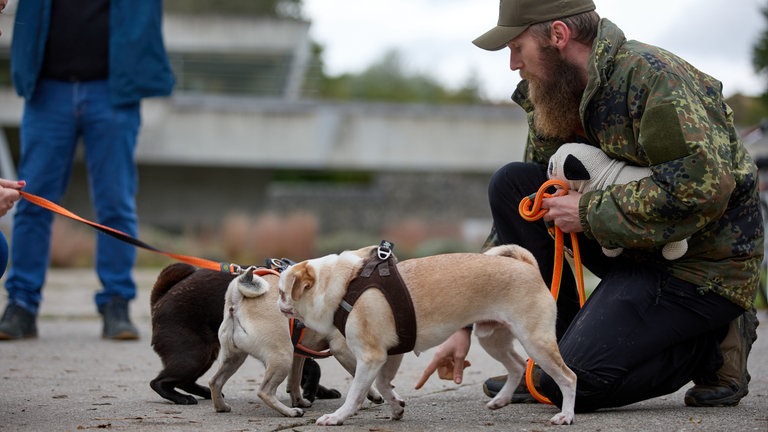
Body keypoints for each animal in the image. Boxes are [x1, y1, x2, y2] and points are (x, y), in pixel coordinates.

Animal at [208, 266, 382, 418]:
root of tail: (237, 300)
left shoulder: (299, 355)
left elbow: (294, 380)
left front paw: (299, 401)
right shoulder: (341, 349)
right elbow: (359, 375)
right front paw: (375, 394)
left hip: (234, 358)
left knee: (215, 381)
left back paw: (221, 407)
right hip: (282, 356)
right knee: (264, 391)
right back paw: (290, 412)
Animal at [278, 243, 576, 426]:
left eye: (282, 292)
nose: (278, 304)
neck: (344, 284)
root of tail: (528, 266)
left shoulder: (371, 357)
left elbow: (357, 393)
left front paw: (339, 416)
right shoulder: (390, 355)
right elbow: (384, 385)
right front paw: (396, 406)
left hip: (535, 342)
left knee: (568, 378)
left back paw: (566, 415)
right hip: (493, 339)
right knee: (516, 366)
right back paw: (501, 400)